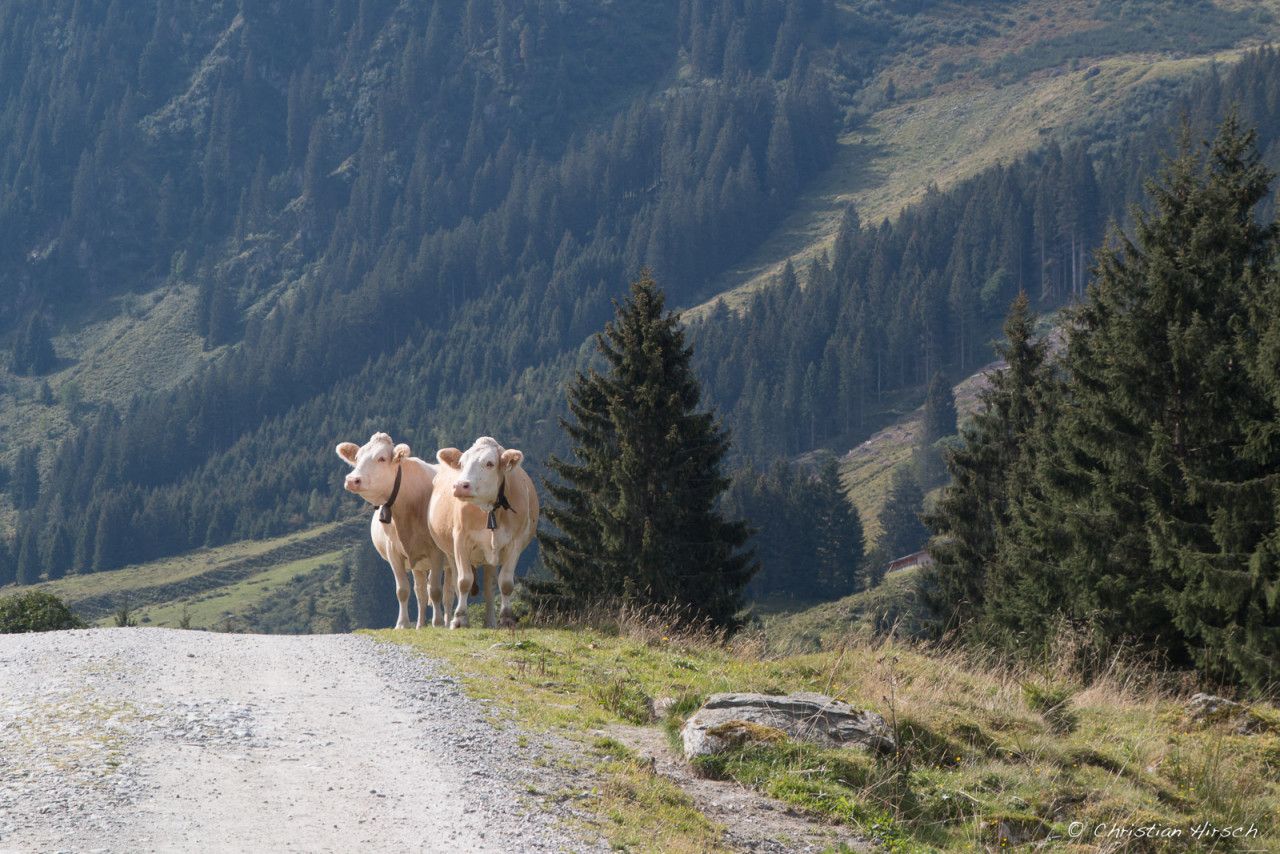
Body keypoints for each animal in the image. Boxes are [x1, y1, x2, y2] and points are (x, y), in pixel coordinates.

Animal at [335, 433, 453, 629]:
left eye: (382, 458)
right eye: (357, 457)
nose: (352, 480)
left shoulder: (436, 552)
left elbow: (435, 590)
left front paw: (437, 623)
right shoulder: (394, 552)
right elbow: (403, 590)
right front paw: (402, 624)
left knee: (448, 593)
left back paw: (450, 622)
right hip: (419, 564)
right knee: (420, 591)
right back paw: (420, 625)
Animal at [429, 437, 540, 629]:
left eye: (489, 463)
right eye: (461, 463)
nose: (460, 486)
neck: (490, 510)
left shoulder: (514, 544)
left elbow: (506, 583)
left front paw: (507, 619)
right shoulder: (460, 541)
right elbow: (464, 581)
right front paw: (460, 619)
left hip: (491, 558)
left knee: (489, 587)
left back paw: (490, 622)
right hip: (449, 553)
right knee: (456, 583)